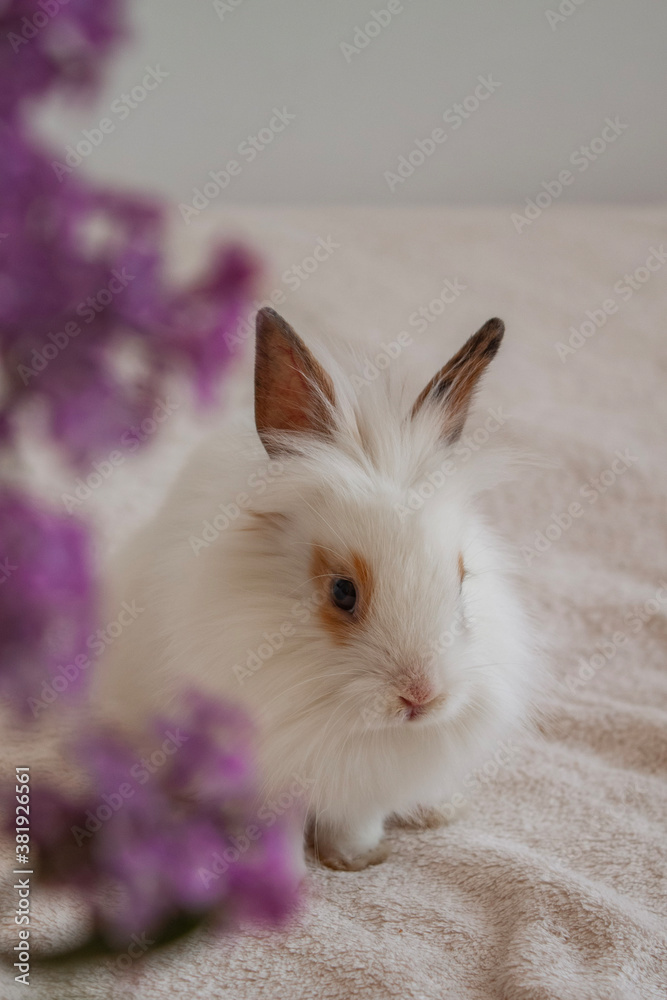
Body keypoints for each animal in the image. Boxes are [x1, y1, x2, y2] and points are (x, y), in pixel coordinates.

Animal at [95, 307, 538, 871]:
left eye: (461, 583)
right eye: (343, 592)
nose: (421, 698)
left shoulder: (367, 788)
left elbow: (358, 820)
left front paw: (356, 858)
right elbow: (277, 829)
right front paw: (288, 877)